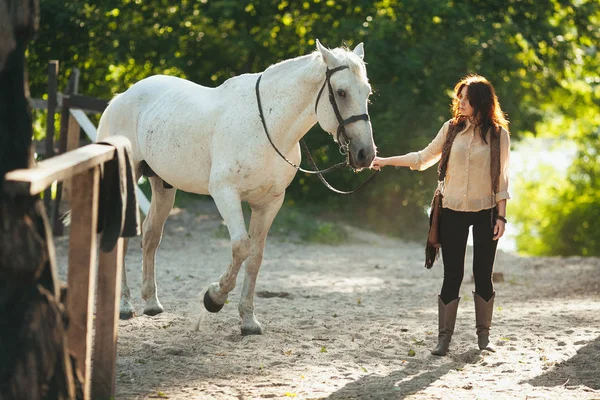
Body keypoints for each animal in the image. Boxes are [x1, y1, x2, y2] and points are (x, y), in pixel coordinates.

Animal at [98, 40, 376, 334]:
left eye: (367, 92)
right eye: (341, 92)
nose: (365, 154)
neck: (266, 126)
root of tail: (121, 97)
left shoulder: (269, 202)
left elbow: (255, 256)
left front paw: (248, 320)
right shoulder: (225, 194)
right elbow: (241, 246)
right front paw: (214, 298)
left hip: (164, 187)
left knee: (151, 235)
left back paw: (151, 303)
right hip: (128, 181)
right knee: (123, 239)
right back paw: (124, 306)